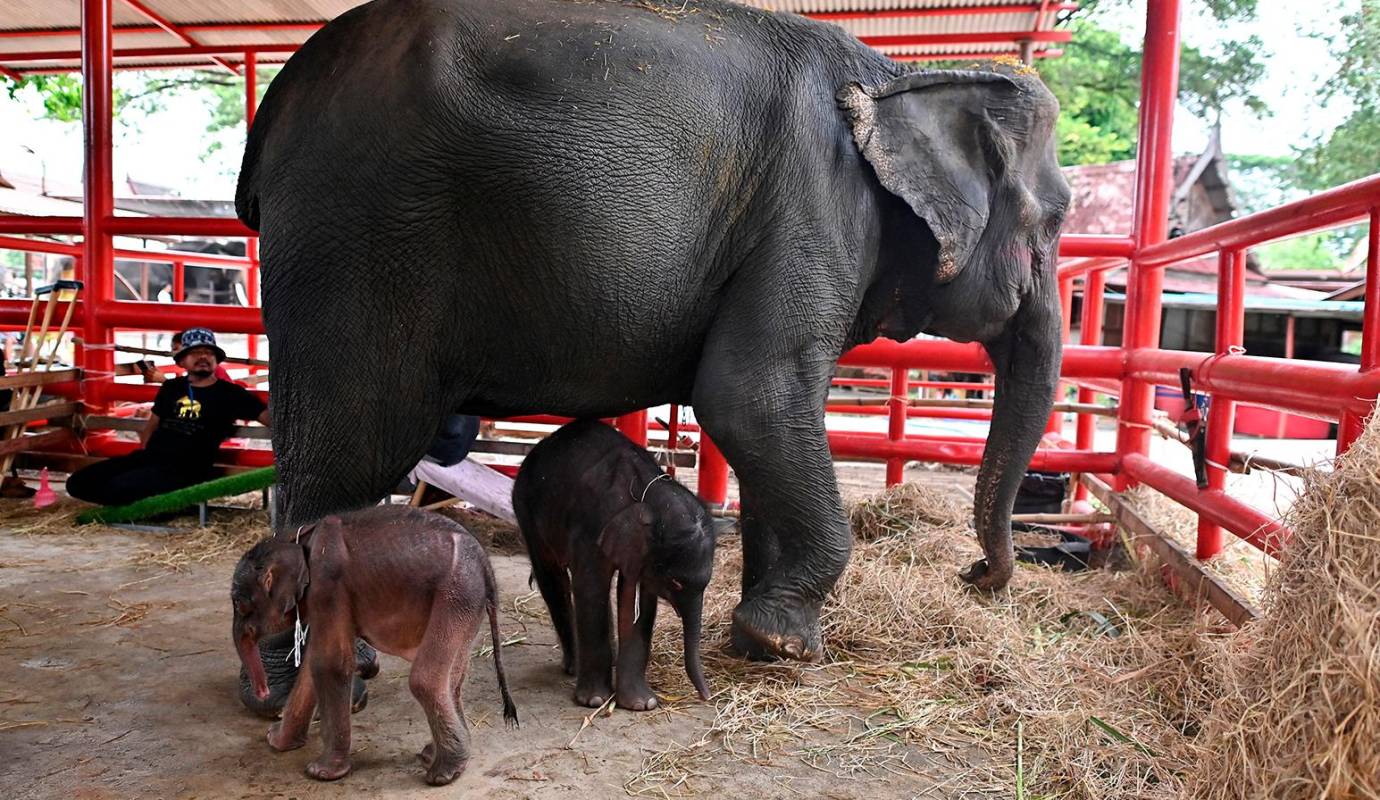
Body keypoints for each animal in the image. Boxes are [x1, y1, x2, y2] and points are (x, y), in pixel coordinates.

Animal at [237, 0, 1070, 662]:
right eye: (1056, 220)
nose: (977, 575)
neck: (902, 73)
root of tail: (277, 104)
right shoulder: (817, 208)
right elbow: (749, 396)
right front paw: (787, 645)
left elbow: (766, 422)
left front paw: (756, 636)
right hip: (358, 241)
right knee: (344, 458)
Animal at [513, 422, 717, 711]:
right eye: (676, 582)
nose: (707, 697)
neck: (647, 492)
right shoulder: (590, 526)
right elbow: (591, 587)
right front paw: (595, 700)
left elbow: (636, 600)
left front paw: (641, 705)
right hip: (526, 510)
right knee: (552, 578)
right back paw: (573, 667)